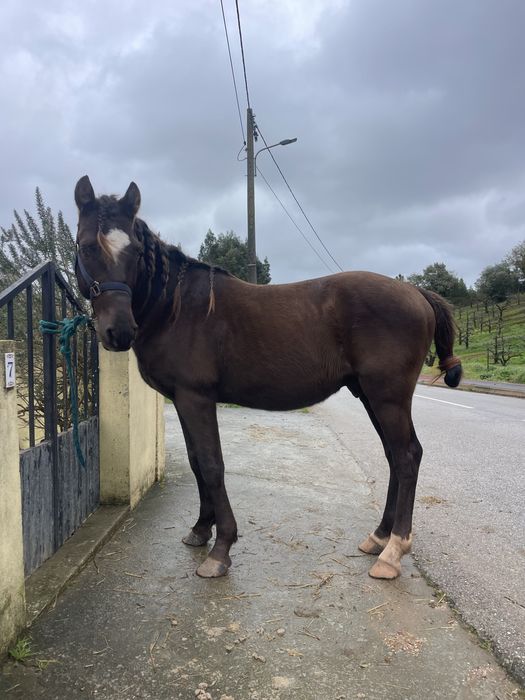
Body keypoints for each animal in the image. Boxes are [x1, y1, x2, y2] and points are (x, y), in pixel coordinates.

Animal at [74, 175, 462, 580]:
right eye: (86, 246)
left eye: (135, 251)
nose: (119, 332)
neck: (176, 308)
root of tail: (416, 291)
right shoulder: (181, 400)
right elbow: (196, 462)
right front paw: (201, 529)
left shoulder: (196, 398)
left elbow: (211, 465)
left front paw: (221, 548)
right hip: (371, 396)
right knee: (393, 456)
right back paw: (379, 537)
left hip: (388, 397)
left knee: (407, 456)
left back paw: (393, 551)